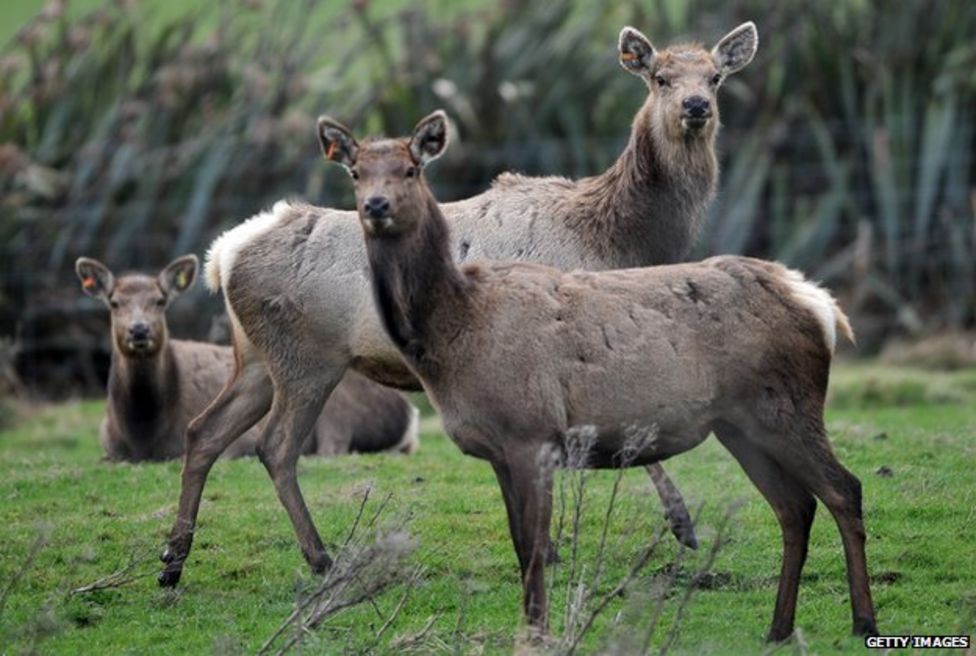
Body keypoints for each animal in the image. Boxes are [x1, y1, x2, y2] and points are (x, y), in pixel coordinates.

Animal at [72, 254, 416, 464]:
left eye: (160, 300)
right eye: (114, 302)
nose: (139, 330)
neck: (142, 432)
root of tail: (409, 412)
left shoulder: (240, 442)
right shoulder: (108, 449)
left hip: (337, 410)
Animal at [158, 24, 764, 588]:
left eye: (715, 76)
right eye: (660, 77)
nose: (696, 107)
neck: (619, 241)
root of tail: (223, 254)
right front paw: (680, 524)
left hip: (258, 359)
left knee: (203, 432)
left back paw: (173, 560)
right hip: (307, 357)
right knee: (276, 447)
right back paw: (319, 558)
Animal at [324, 111, 880, 640]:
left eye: (411, 169)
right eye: (356, 173)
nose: (376, 205)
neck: (455, 331)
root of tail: (822, 304)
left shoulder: (533, 433)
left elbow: (535, 548)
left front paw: (539, 631)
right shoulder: (499, 450)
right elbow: (520, 545)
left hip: (787, 406)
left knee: (843, 490)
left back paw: (863, 622)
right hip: (740, 424)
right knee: (795, 507)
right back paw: (779, 628)